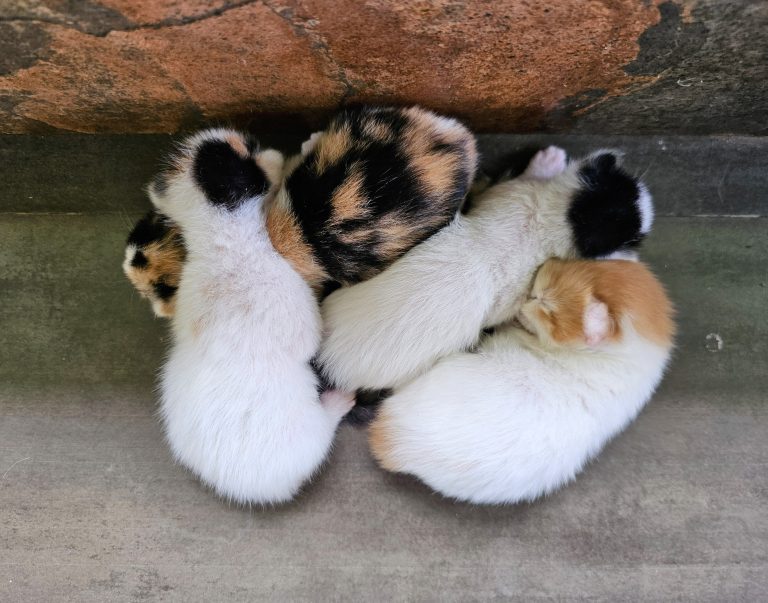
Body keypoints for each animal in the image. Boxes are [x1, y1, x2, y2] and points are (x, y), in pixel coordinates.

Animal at [154, 129, 356, 504]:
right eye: (252, 150)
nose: (273, 148)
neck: (223, 244)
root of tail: (242, 489)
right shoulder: (296, 310)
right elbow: (309, 341)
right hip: (313, 429)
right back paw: (340, 401)